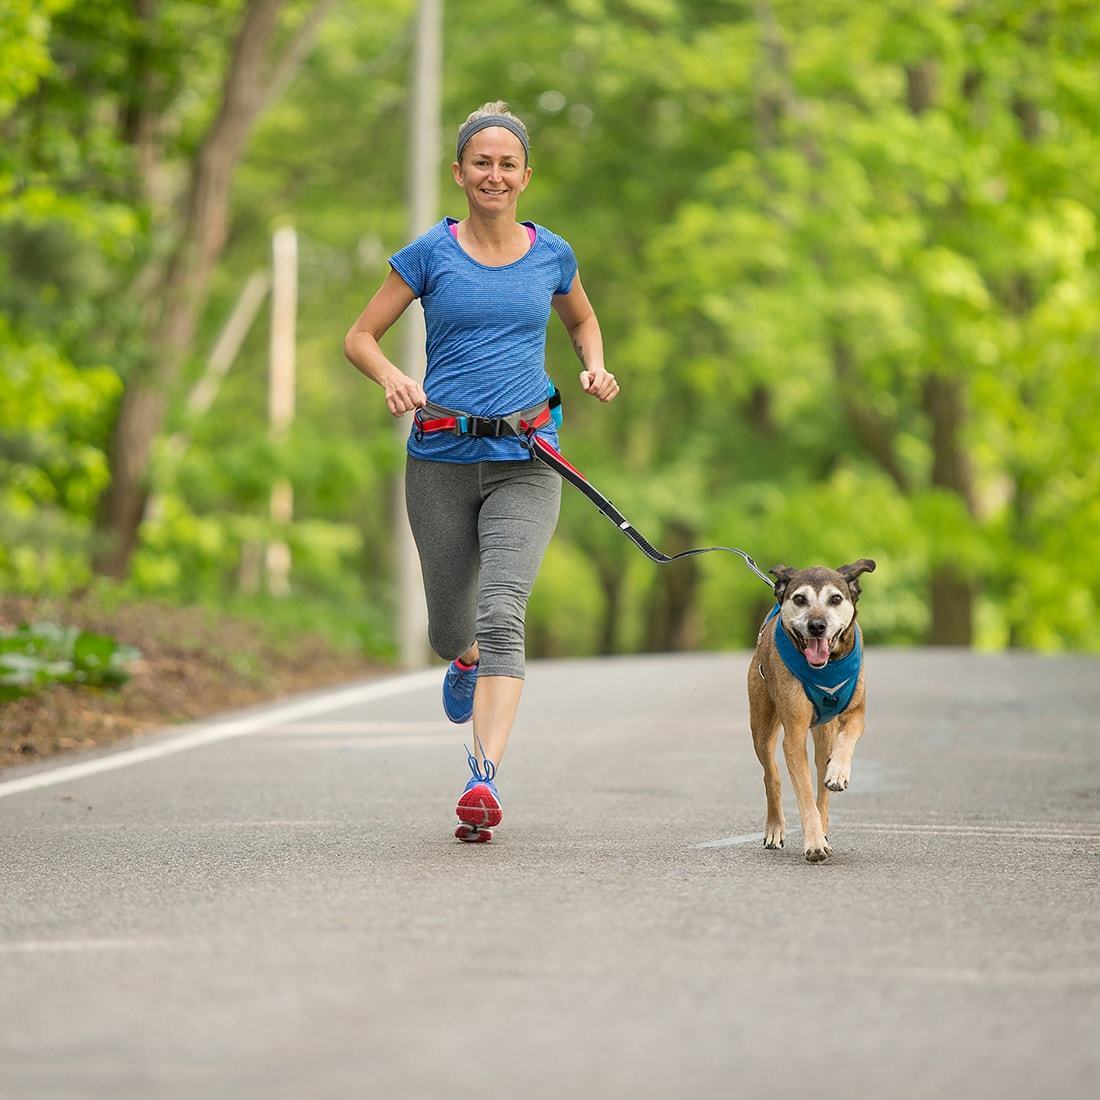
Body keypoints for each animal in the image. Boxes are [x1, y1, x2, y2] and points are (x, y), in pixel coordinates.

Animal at [748, 563, 875, 862]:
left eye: (836, 599)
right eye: (799, 599)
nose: (817, 626)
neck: (827, 667)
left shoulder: (857, 713)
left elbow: (848, 736)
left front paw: (838, 773)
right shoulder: (794, 734)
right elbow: (804, 795)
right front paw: (815, 843)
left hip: (823, 733)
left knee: (822, 778)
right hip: (761, 726)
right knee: (771, 776)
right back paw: (775, 828)